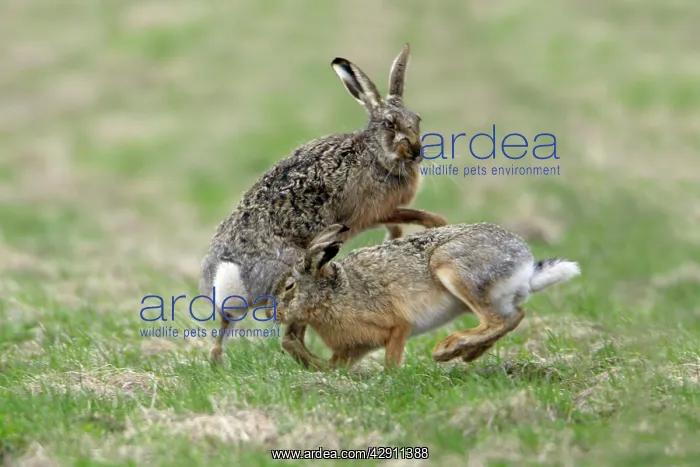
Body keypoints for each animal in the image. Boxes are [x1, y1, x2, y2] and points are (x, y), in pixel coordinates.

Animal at [200, 43, 448, 365]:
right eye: (390, 124)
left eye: (417, 119)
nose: (417, 151)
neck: (376, 152)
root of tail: (232, 274)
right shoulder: (373, 211)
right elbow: (412, 214)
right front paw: (437, 225)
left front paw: (397, 239)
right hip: (301, 275)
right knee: (290, 338)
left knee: (226, 331)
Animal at [271, 222, 581, 370]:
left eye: (289, 286)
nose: (275, 315)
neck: (332, 291)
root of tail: (524, 266)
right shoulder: (353, 348)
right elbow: (336, 366)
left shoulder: (398, 326)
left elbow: (392, 358)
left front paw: (388, 378)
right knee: (515, 315)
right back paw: (469, 354)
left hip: (453, 269)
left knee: (495, 320)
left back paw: (448, 348)